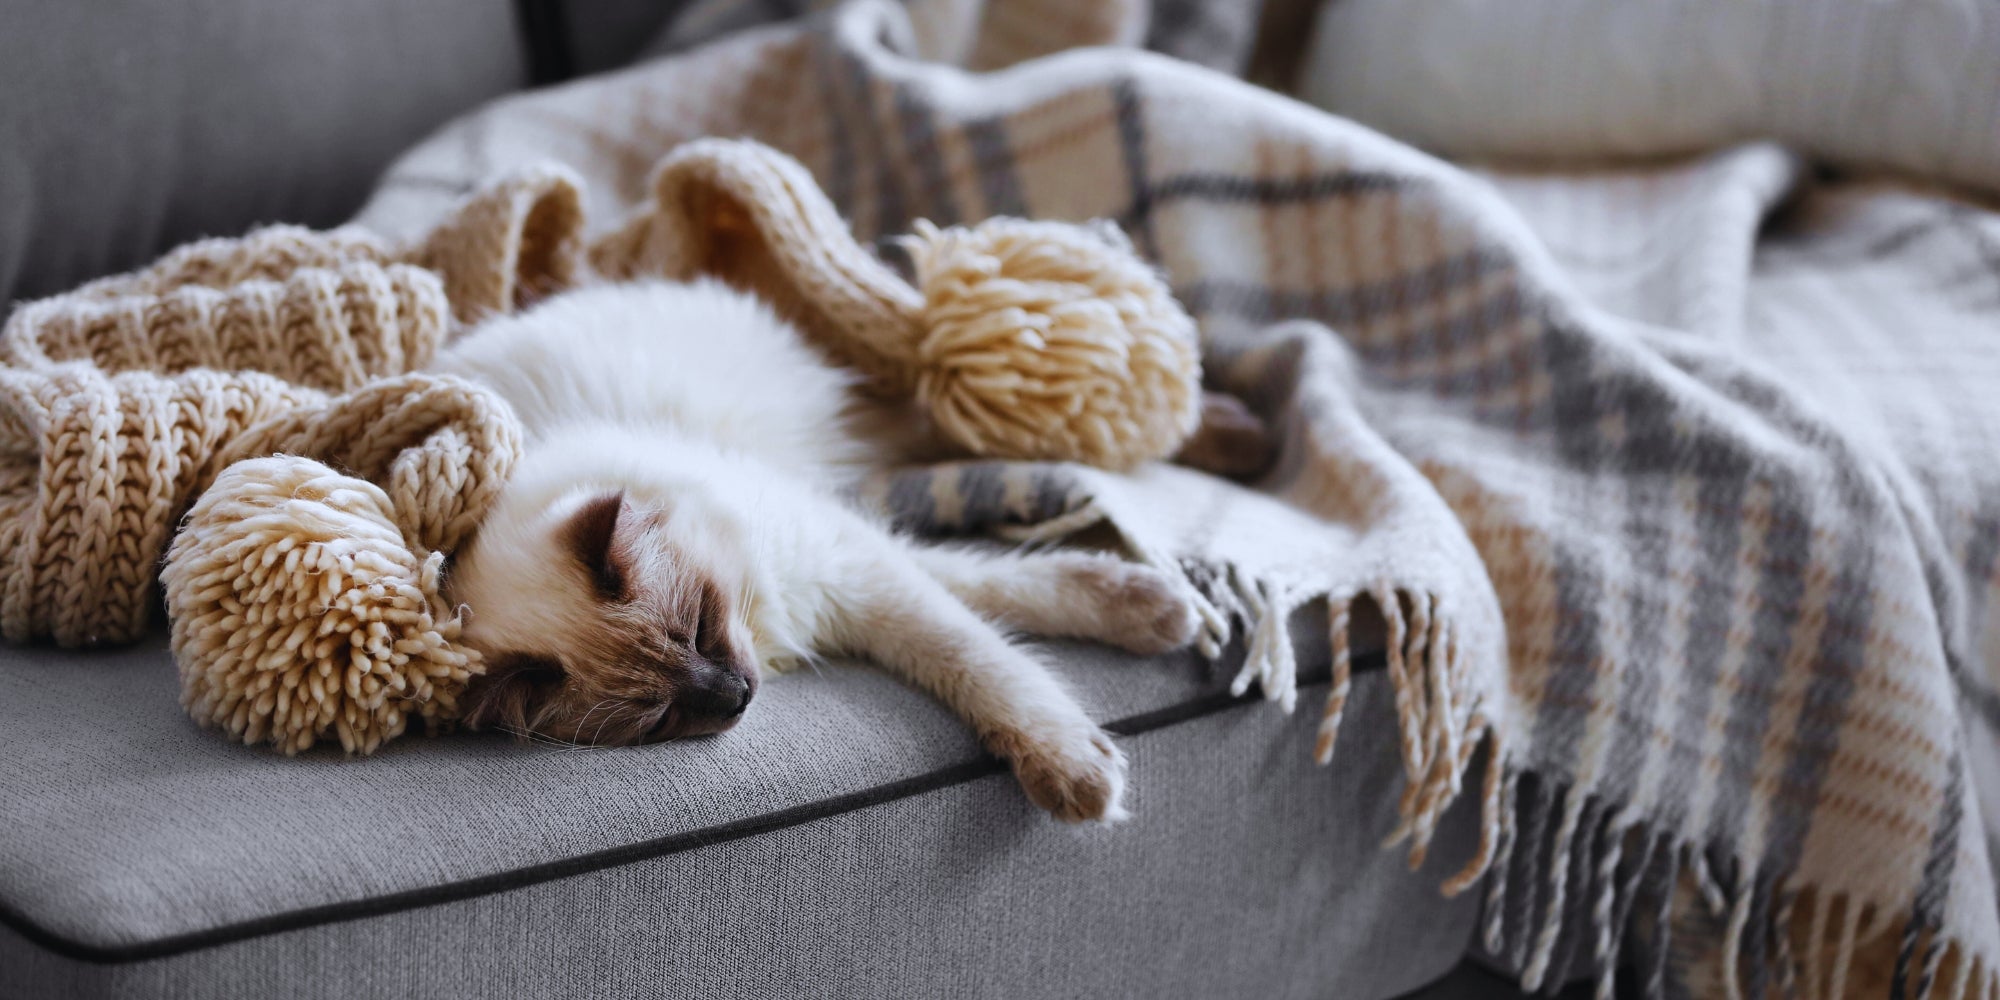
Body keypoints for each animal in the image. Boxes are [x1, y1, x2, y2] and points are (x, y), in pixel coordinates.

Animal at [428, 280, 1192, 820]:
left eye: (700, 627)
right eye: (658, 719)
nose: (736, 696)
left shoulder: (846, 562)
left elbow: (984, 635)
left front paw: (1155, 616)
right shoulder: (842, 580)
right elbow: (988, 621)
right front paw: (1156, 620)